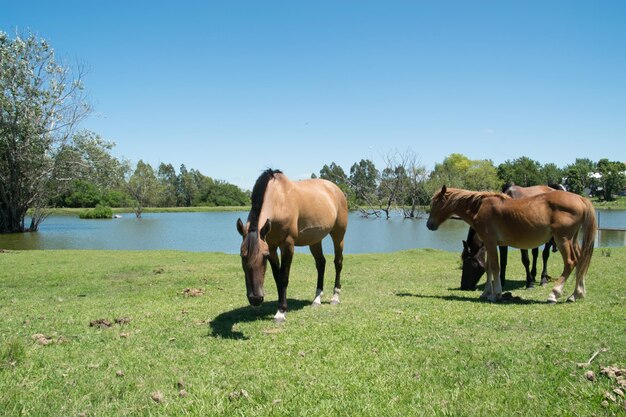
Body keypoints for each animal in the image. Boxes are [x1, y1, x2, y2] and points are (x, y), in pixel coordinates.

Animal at [236, 169, 348, 322]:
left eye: (264, 256)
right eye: (242, 255)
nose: (255, 299)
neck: (279, 200)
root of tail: (336, 189)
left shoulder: (287, 245)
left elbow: (283, 277)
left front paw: (281, 312)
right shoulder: (271, 246)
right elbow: (277, 277)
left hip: (338, 234)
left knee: (338, 262)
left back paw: (335, 297)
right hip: (315, 240)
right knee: (321, 263)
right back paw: (317, 299)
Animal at [424, 185, 596, 302]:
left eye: (435, 204)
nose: (429, 225)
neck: (480, 208)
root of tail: (581, 199)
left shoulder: (491, 242)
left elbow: (495, 267)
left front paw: (496, 294)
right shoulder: (490, 244)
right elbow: (489, 268)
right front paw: (486, 293)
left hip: (562, 240)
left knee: (570, 262)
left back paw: (554, 294)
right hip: (573, 239)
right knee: (581, 261)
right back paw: (576, 294)